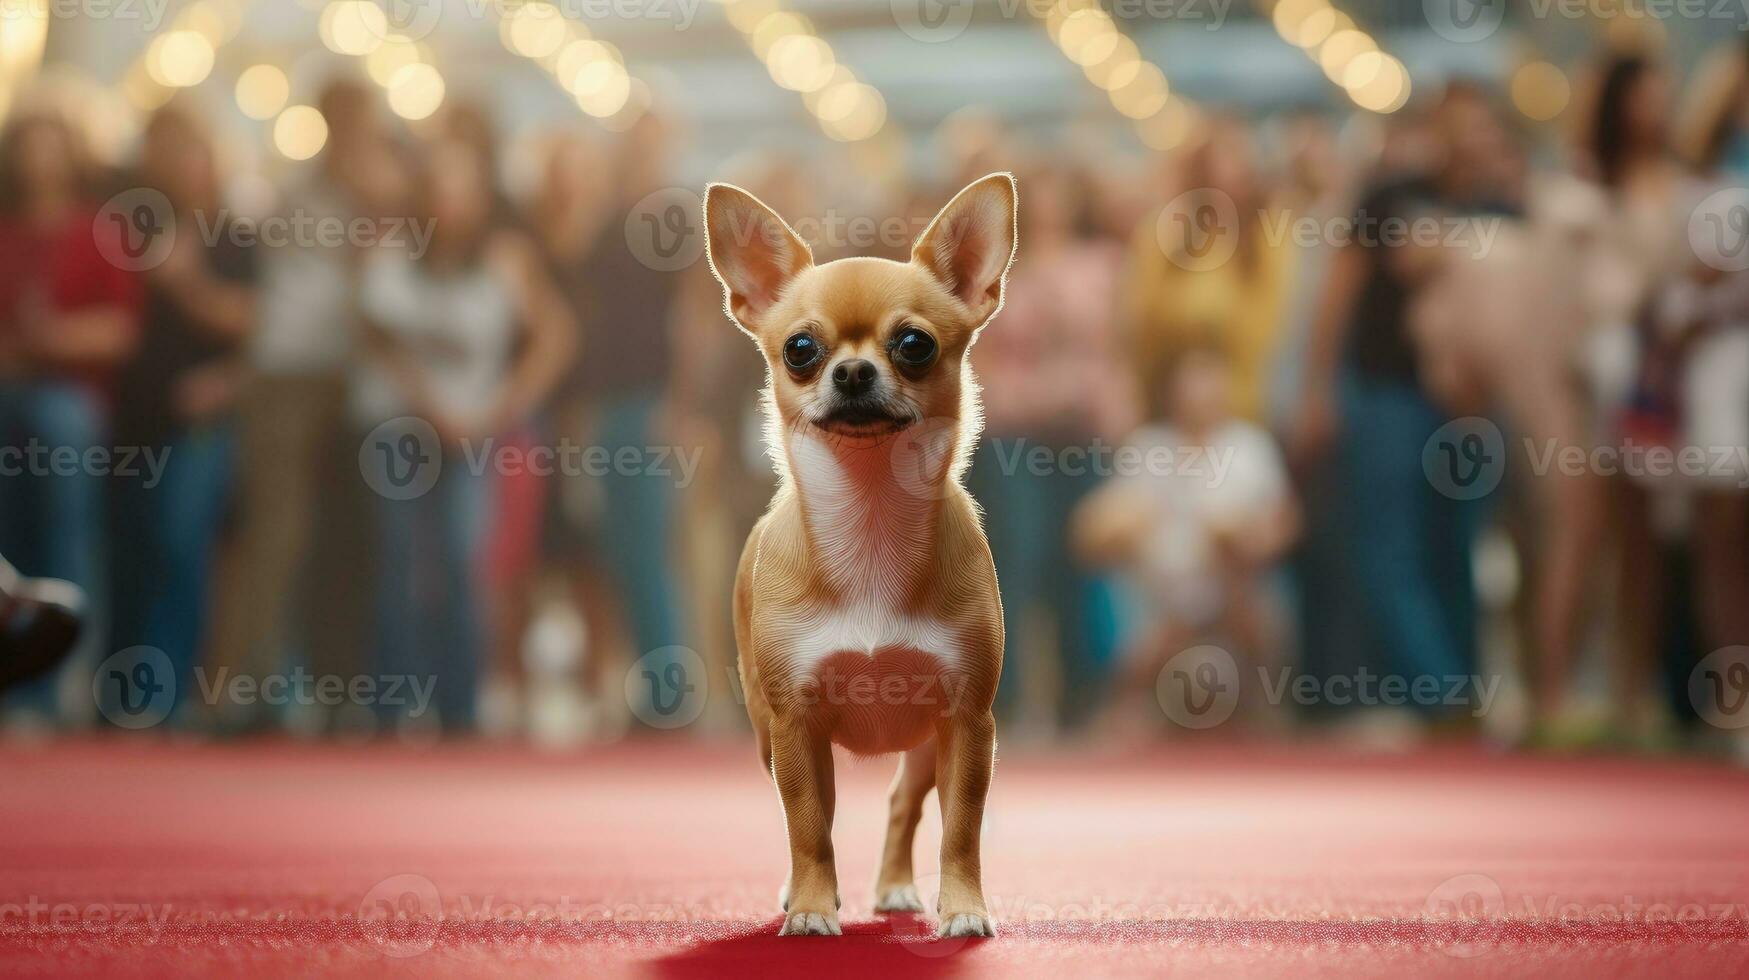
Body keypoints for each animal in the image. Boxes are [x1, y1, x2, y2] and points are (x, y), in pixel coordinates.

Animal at [703, 172, 1021, 938]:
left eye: (913, 344)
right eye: (799, 349)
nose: (850, 371)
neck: (869, 514)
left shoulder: (968, 720)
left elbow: (960, 828)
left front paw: (963, 908)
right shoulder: (795, 724)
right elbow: (808, 827)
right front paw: (814, 908)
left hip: (926, 741)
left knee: (903, 804)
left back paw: (897, 887)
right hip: (770, 734)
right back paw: (801, 891)